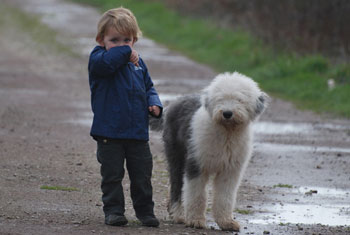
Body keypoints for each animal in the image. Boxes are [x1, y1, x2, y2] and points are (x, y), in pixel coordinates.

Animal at [161, 72, 268, 231]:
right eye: (220, 98)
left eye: (239, 99)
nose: (227, 113)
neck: (227, 133)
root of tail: (175, 102)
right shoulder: (197, 163)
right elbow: (196, 194)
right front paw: (195, 220)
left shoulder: (230, 170)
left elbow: (225, 196)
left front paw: (227, 222)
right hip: (177, 155)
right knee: (176, 186)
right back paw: (178, 215)